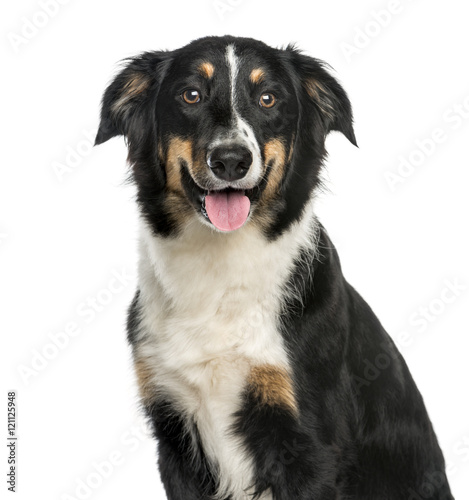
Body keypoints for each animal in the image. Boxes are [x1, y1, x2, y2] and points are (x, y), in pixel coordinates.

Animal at [96, 36, 454, 500]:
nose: (231, 160)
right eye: (190, 95)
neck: (220, 271)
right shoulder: (174, 432)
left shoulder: (311, 441)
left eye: (268, 99)